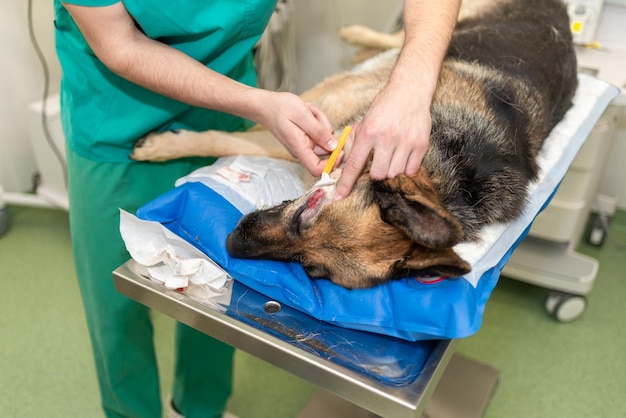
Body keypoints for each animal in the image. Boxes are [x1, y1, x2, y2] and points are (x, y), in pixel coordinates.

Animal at [130, 0, 576, 288]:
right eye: (302, 216)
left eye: (310, 269)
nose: (231, 242)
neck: (446, 168)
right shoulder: (314, 113)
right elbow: (227, 130)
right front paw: (162, 146)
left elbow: (241, 135)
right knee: (402, 36)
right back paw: (361, 38)